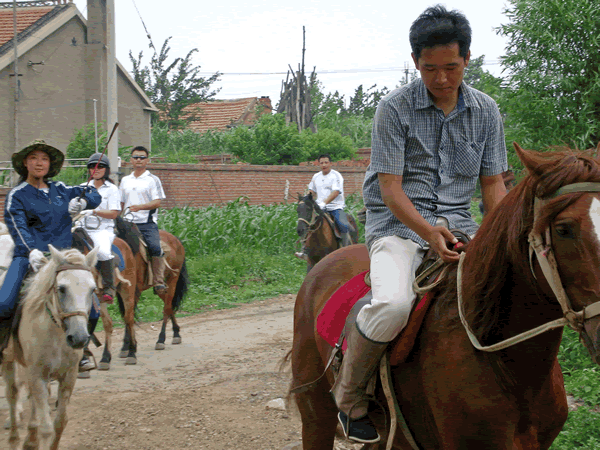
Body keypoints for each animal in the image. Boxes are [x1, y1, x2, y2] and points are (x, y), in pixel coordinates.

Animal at [2, 244, 98, 450]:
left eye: (93, 289)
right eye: (61, 289)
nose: (79, 338)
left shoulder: (68, 376)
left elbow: (60, 422)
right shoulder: (37, 375)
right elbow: (46, 428)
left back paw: (30, 439)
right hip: (8, 360)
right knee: (12, 394)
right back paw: (14, 439)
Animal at [112, 218, 188, 362]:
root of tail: (176, 239)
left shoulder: (134, 290)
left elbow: (129, 315)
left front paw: (128, 349)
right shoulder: (121, 291)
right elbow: (125, 315)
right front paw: (125, 348)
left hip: (172, 279)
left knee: (167, 308)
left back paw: (161, 340)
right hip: (160, 288)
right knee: (169, 305)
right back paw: (176, 333)